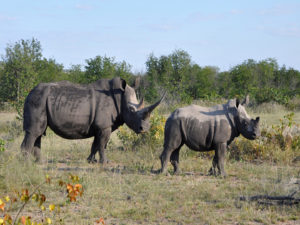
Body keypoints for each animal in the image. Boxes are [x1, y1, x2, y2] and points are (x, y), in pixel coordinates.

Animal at [21, 77, 164, 163]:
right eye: (132, 110)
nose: (144, 129)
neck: (120, 98)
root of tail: (29, 92)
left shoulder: (100, 126)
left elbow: (96, 144)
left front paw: (91, 161)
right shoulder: (104, 126)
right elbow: (102, 144)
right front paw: (104, 162)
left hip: (40, 100)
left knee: (39, 133)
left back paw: (40, 162)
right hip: (37, 100)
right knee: (33, 132)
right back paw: (27, 163)